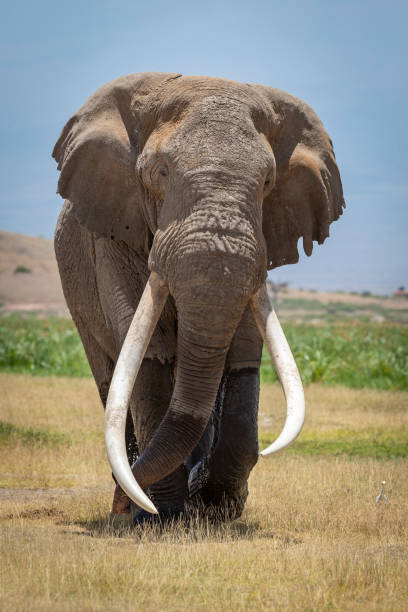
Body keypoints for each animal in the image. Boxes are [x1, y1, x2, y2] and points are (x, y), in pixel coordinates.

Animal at [51, 70, 344, 520]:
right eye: (160, 172)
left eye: (268, 181)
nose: (121, 501)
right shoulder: (113, 232)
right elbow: (148, 356)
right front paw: (161, 516)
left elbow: (243, 358)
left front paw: (218, 510)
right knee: (111, 377)